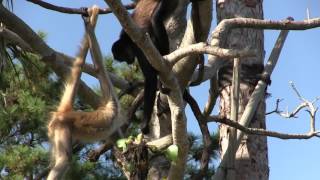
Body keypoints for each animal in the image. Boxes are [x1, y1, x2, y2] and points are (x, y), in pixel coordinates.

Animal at [47, 5, 124, 180]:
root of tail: (65, 113)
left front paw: (89, 21)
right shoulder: (111, 103)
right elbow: (99, 67)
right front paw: (89, 23)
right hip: (62, 127)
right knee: (64, 159)